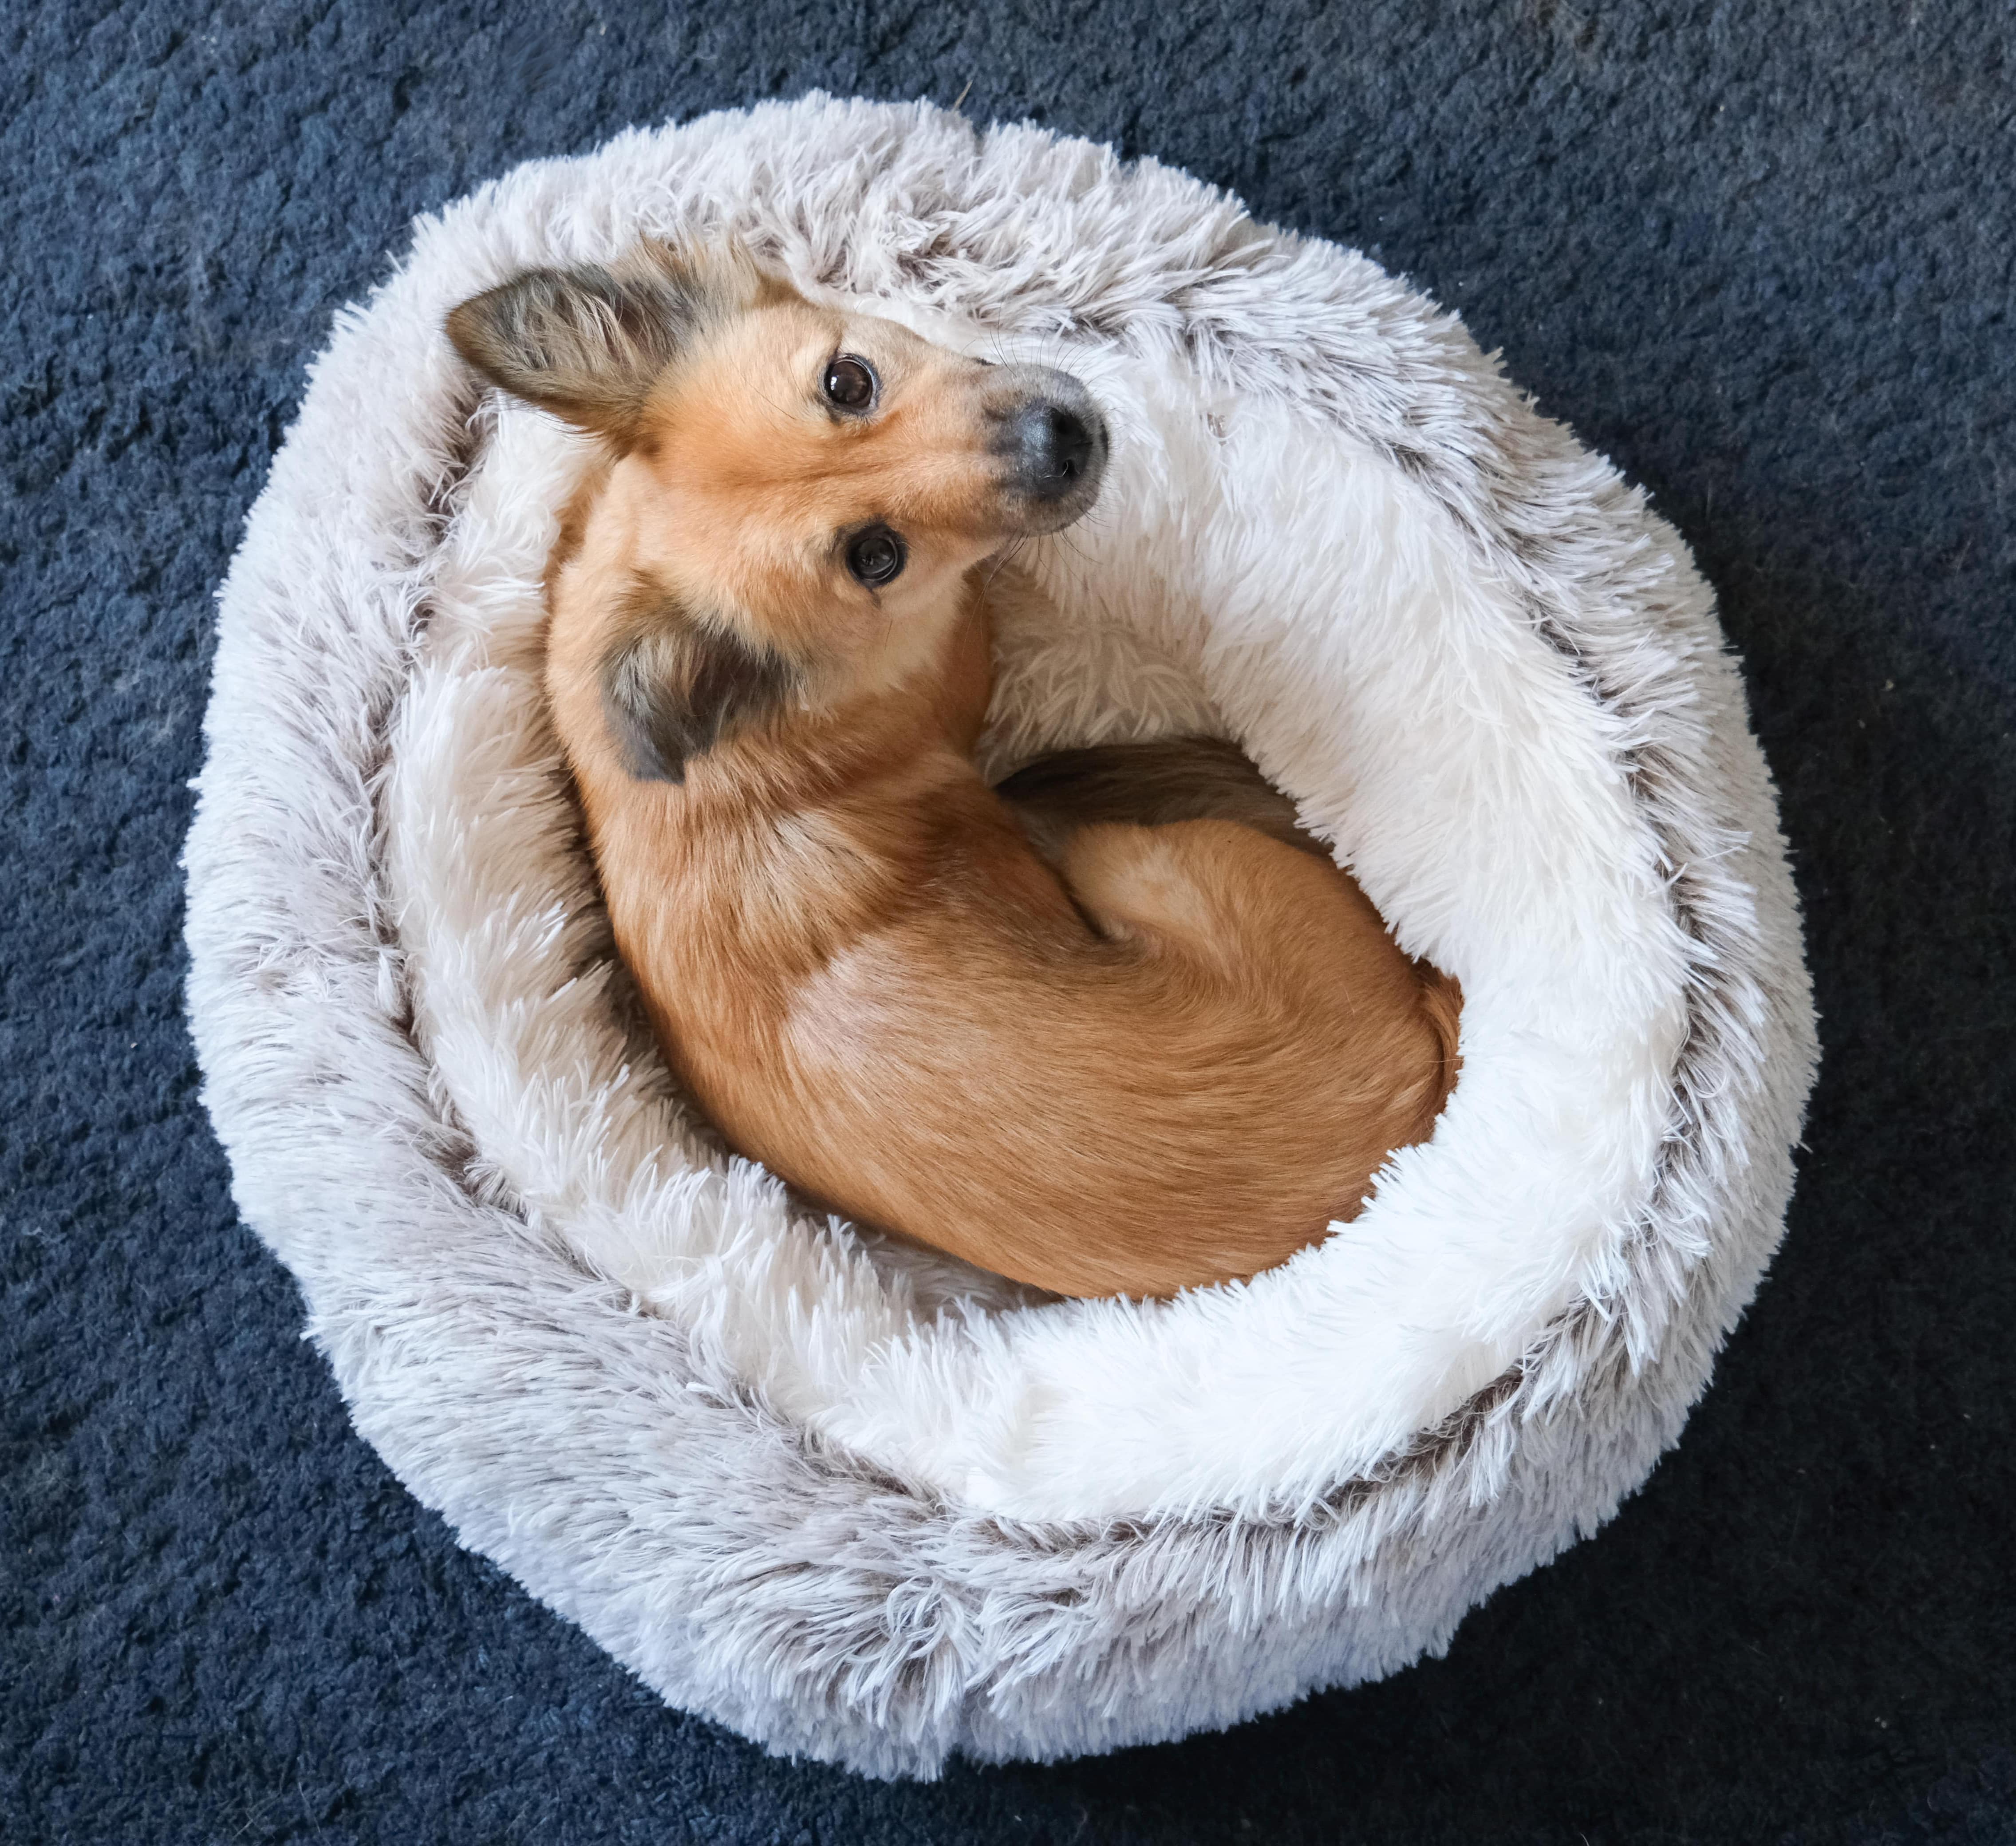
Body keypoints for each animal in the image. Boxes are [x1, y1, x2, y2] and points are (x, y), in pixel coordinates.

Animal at [450, 245, 1460, 1298]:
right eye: (875, 557)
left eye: (848, 382)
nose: (1063, 440)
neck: (758, 736)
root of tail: (1412, 1094)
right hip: (1131, 857)